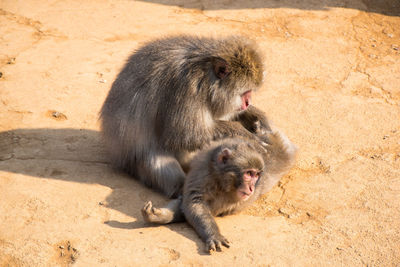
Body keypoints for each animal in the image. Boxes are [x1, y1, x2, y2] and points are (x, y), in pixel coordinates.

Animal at [98, 35, 264, 199]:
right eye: (246, 92)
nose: (248, 102)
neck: (205, 75)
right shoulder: (186, 89)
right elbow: (185, 136)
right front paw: (243, 133)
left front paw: (252, 117)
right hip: (133, 163)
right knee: (154, 155)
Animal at [141, 116, 296, 252]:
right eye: (249, 174)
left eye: (256, 175)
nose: (252, 187)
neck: (220, 181)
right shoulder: (201, 172)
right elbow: (190, 202)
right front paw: (161, 215)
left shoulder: (232, 198)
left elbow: (197, 206)